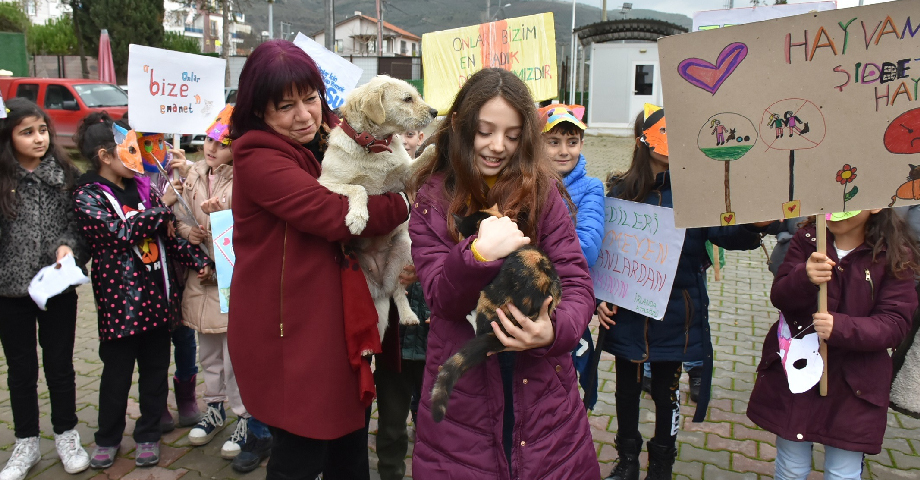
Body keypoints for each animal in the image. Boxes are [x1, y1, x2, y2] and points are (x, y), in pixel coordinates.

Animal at [320, 75, 438, 342]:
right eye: (407, 99)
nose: (436, 112)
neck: (374, 146)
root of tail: (379, 287)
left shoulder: (406, 177)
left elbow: (425, 156)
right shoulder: (325, 183)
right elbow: (359, 188)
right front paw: (358, 218)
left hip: (405, 250)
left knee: (398, 291)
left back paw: (408, 315)